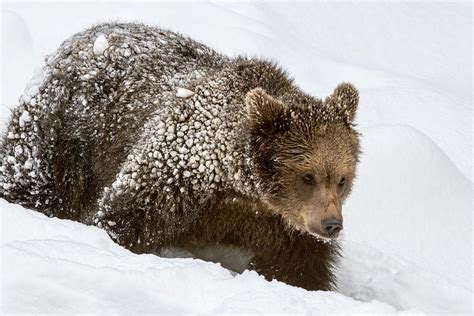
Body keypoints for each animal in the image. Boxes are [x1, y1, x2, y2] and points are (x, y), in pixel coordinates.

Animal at [0, 22, 360, 292]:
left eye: (342, 179)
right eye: (307, 176)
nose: (331, 224)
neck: (238, 185)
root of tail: (83, 34)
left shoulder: (281, 225)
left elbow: (298, 267)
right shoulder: (178, 169)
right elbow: (125, 216)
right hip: (65, 128)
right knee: (34, 177)